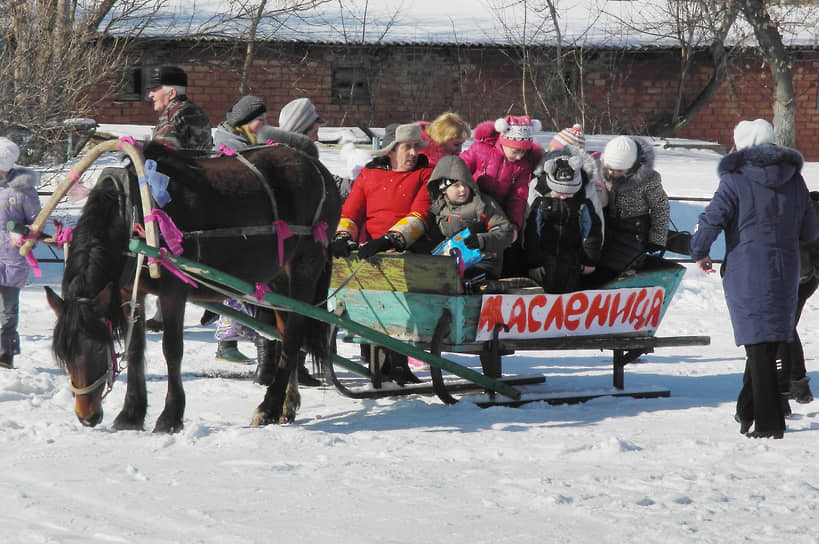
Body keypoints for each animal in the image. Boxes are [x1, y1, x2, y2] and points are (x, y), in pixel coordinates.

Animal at [43, 141, 342, 434]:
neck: (133, 214)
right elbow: (136, 349)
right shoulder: (131, 292)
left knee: (292, 336)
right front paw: (131, 414)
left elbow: (172, 350)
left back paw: (268, 407)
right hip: (278, 276)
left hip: (305, 267)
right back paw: (287, 405)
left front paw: (170, 417)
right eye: (64, 355)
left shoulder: (173, 291)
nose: (86, 417)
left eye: (97, 348)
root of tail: (318, 168)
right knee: (284, 331)